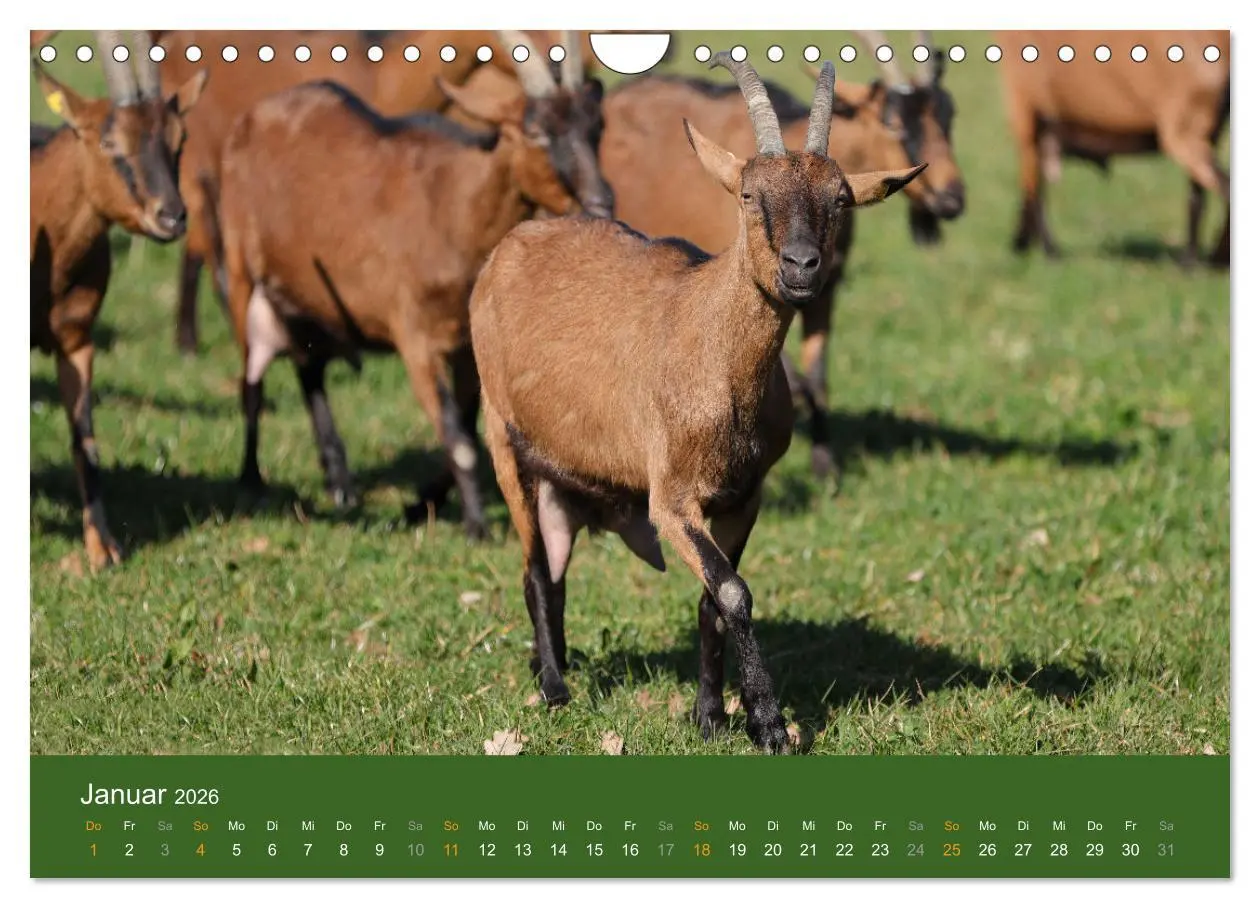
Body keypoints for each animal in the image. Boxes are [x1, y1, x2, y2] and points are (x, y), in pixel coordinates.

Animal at [30, 31, 205, 569]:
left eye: (179, 139)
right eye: (108, 142)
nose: (171, 216)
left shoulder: (77, 340)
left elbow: (85, 439)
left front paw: (102, 548)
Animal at [216, 31, 612, 540]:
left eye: (596, 126)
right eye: (537, 131)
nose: (602, 201)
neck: (451, 208)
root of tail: (254, 115)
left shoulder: (466, 347)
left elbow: (468, 429)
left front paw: (421, 502)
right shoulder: (415, 338)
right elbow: (458, 438)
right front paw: (475, 526)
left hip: (309, 292)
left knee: (309, 366)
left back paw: (340, 484)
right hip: (240, 265)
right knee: (253, 376)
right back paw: (252, 479)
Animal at [469, 54, 924, 752]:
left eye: (840, 198)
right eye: (748, 193)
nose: (802, 267)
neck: (713, 349)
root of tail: (508, 248)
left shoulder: (742, 496)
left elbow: (714, 601)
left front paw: (711, 716)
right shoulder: (672, 498)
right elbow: (734, 593)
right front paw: (769, 725)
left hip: (560, 480)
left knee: (555, 564)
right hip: (503, 439)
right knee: (535, 570)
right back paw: (554, 689)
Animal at [599, 30, 964, 477]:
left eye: (949, 114)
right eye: (892, 122)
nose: (951, 199)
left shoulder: (826, 290)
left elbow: (818, 378)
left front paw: (826, 467)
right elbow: (795, 379)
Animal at [996, 30, 1229, 265]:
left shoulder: (1025, 104)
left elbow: (1032, 189)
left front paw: (1040, 249)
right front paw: (1024, 245)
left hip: (1184, 132)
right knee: (1199, 196)